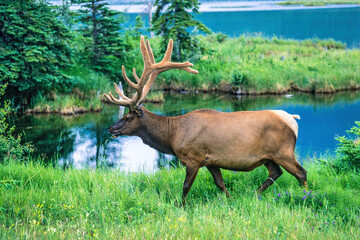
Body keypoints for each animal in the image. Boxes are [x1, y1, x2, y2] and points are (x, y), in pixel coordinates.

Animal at [103, 35, 306, 204]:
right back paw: (254, 194)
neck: (172, 135)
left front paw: (181, 205)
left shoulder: (194, 158)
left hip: (284, 151)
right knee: (276, 172)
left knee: (301, 173)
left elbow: (186, 186)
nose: (110, 128)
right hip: (268, 156)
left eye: (128, 117)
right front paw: (230, 200)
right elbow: (221, 184)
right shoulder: (211, 161)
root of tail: (293, 119)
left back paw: (305, 195)